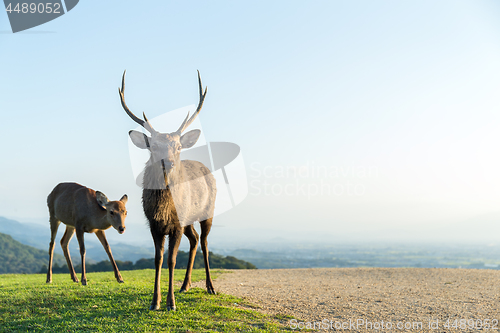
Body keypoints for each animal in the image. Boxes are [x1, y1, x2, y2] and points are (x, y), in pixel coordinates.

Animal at [120, 70, 217, 312]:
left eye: (178, 146)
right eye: (153, 146)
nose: (169, 163)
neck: (164, 209)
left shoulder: (176, 225)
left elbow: (172, 260)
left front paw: (170, 303)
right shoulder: (154, 224)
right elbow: (158, 259)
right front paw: (154, 302)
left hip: (208, 211)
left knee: (205, 242)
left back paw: (210, 287)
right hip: (189, 219)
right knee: (194, 239)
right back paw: (185, 285)